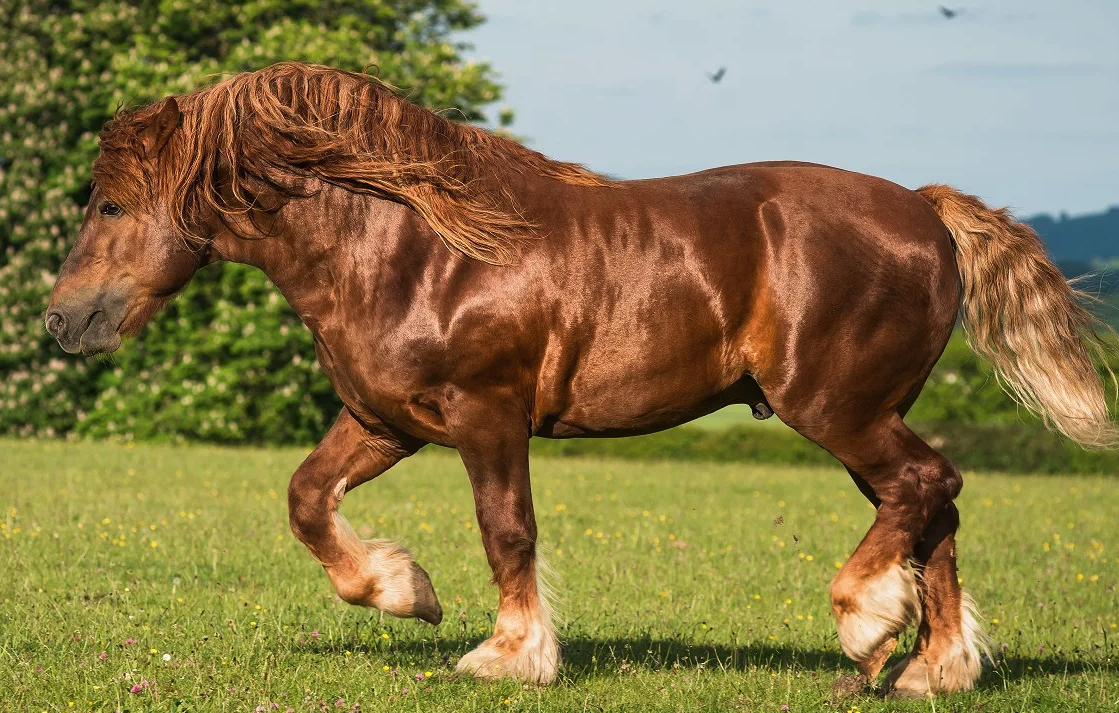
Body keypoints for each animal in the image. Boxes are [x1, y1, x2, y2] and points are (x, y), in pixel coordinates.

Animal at [41, 62, 1110, 693]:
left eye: (109, 203)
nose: (61, 320)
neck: (412, 247)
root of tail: (925, 210)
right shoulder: (386, 420)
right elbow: (307, 499)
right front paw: (402, 589)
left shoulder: (487, 415)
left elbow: (507, 529)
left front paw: (507, 653)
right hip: (865, 415)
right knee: (930, 505)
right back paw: (933, 666)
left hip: (835, 407)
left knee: (928, 487)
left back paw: (865, 625)